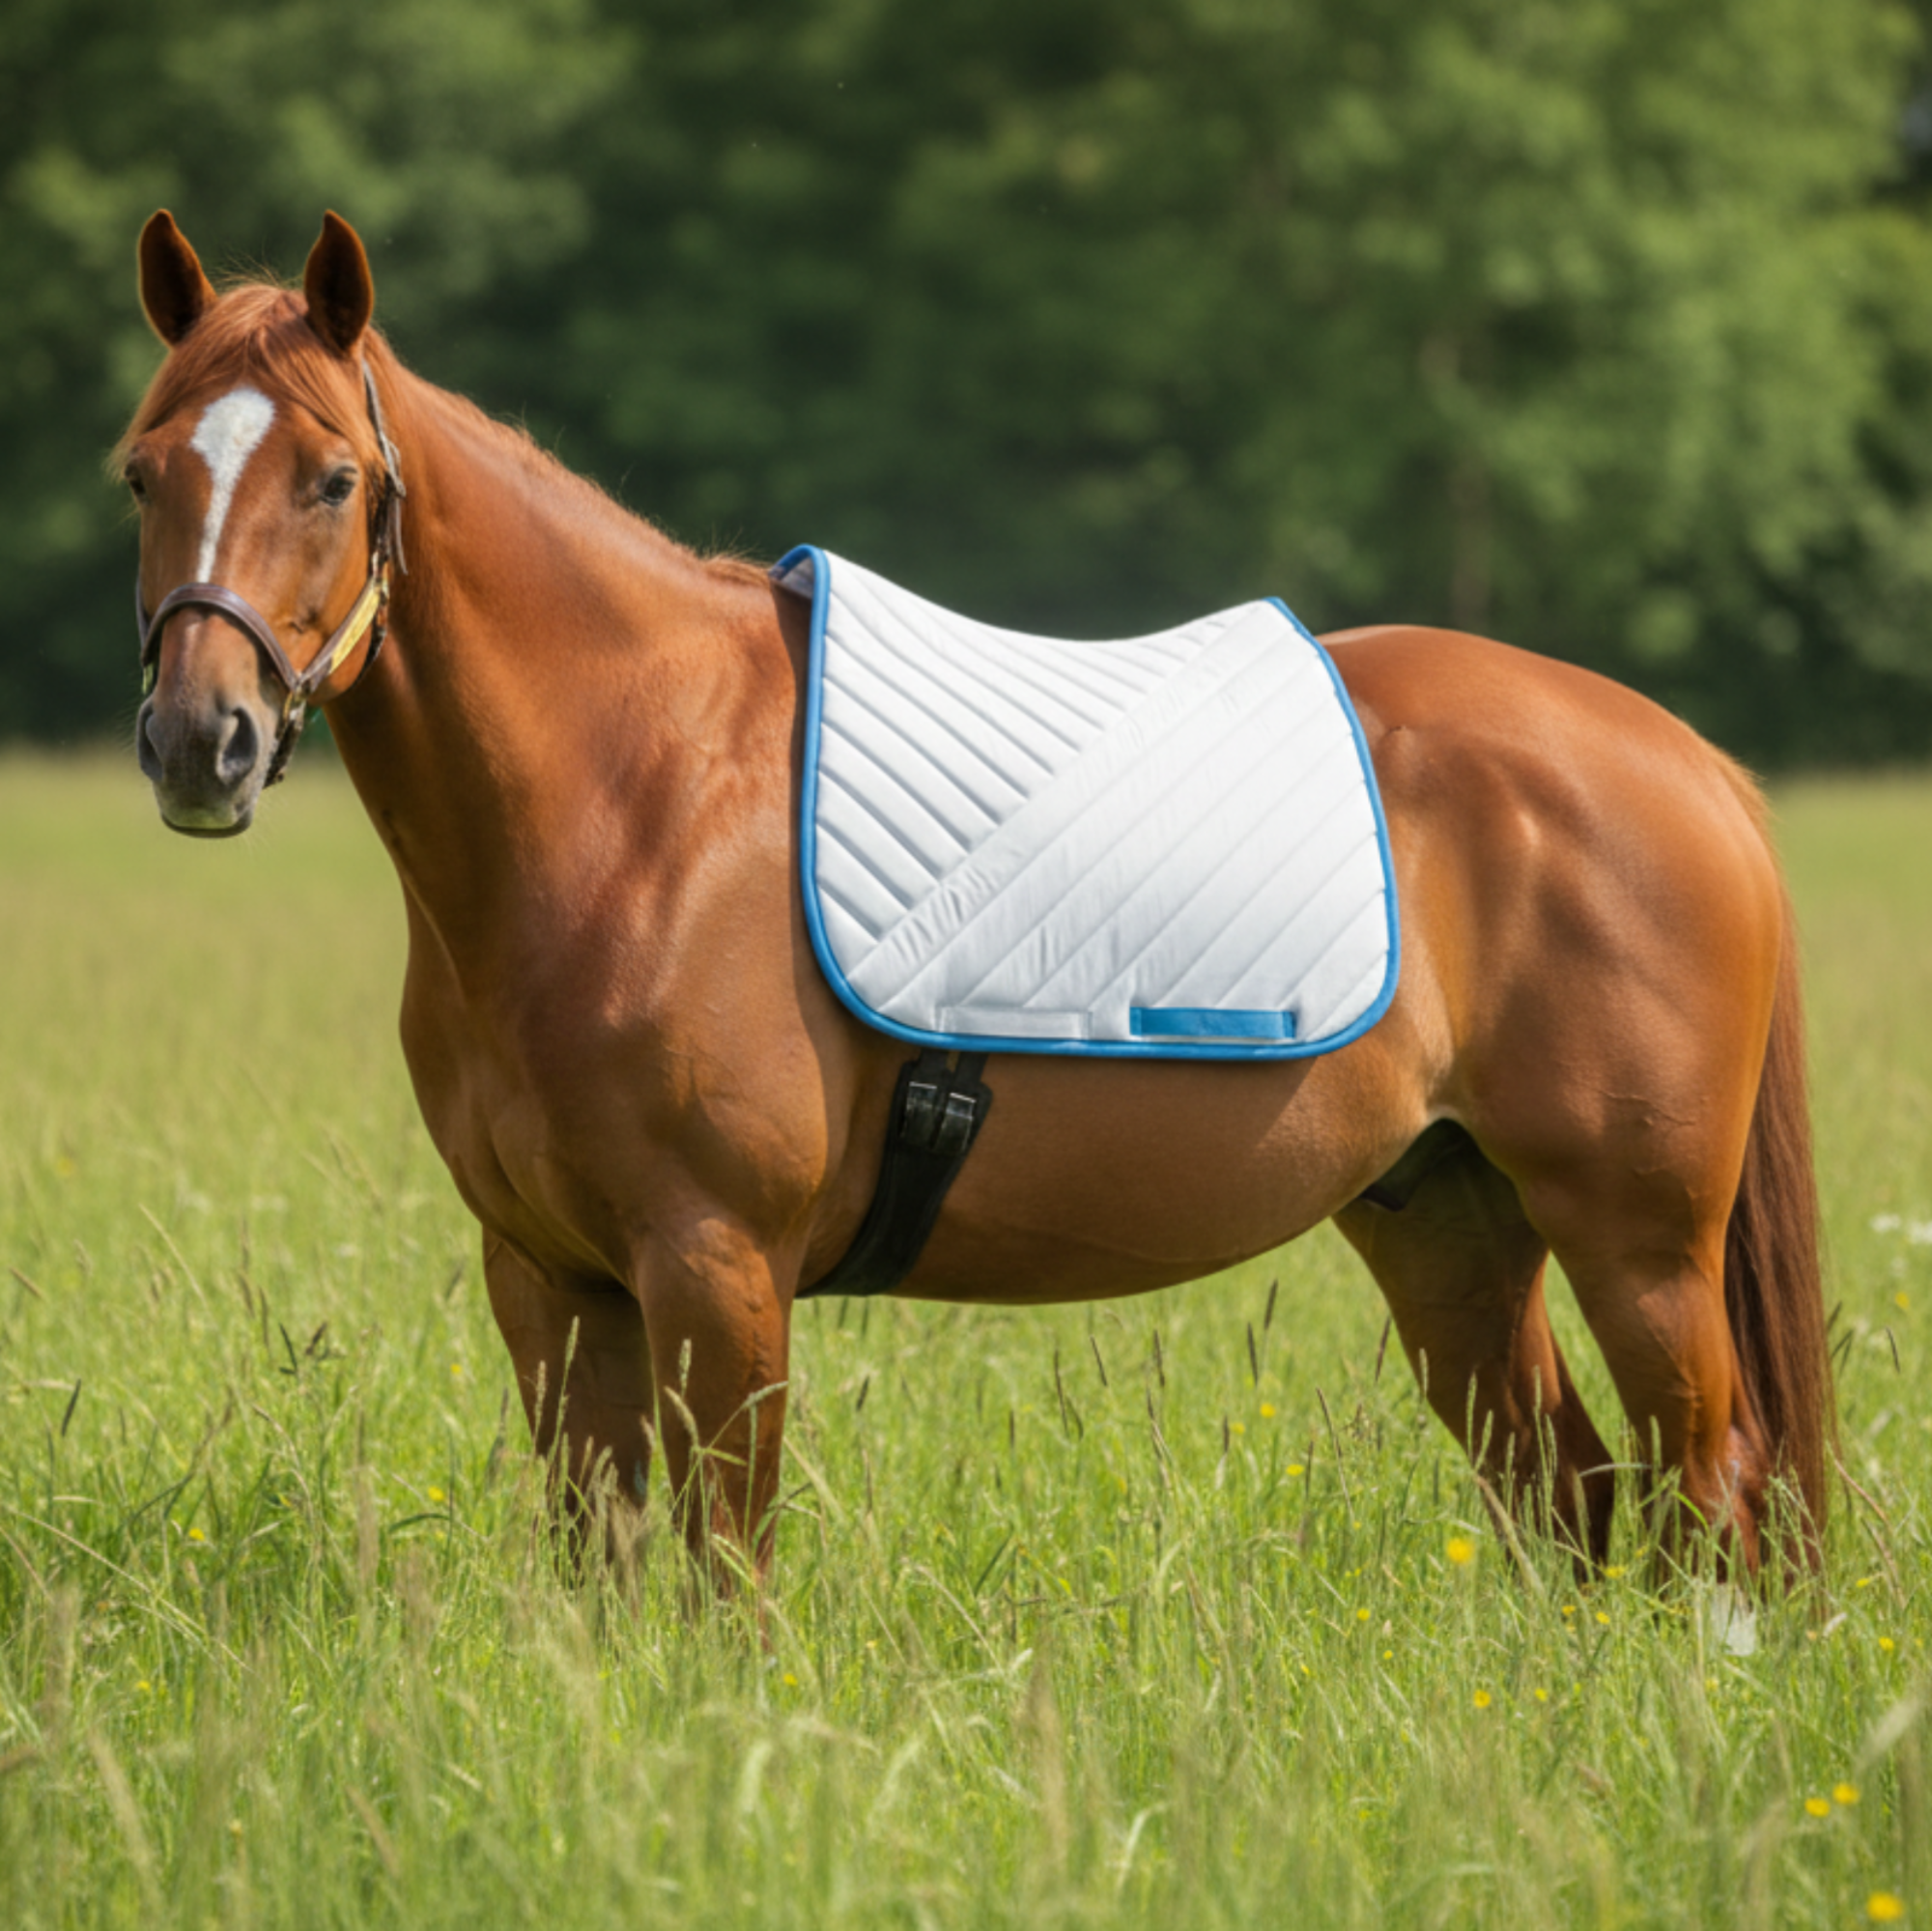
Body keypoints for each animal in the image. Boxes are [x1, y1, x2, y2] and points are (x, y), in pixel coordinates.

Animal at [121, 209, 1831, 1585]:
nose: (203, 741)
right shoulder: (552, 1280)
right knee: (1576, 1497)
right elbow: (607, 1569)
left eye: (333, 478)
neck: (639, 800)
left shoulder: (716, 1268)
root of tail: (1686, 762)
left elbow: (723, 1576)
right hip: (1450, 1226)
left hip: (1640, 1243)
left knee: (1713, 1490)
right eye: (142, 472)